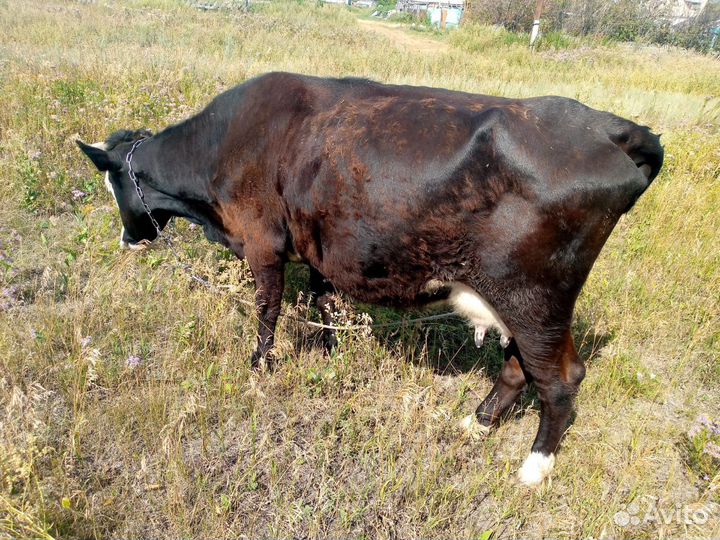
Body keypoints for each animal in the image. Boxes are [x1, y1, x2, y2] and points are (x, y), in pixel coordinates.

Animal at [77, 72, 663, 486]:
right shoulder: (316, 250)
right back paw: (474, 423)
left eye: (114, 185)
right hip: (519, 301)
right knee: (520, 368)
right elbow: (323, 304)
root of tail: (605, 127)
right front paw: (329, 354)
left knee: (560, 379)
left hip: (535, 297)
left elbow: (267, 311)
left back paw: (534, 468)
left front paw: (259, 368)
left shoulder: (262, 243)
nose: (127, 240)